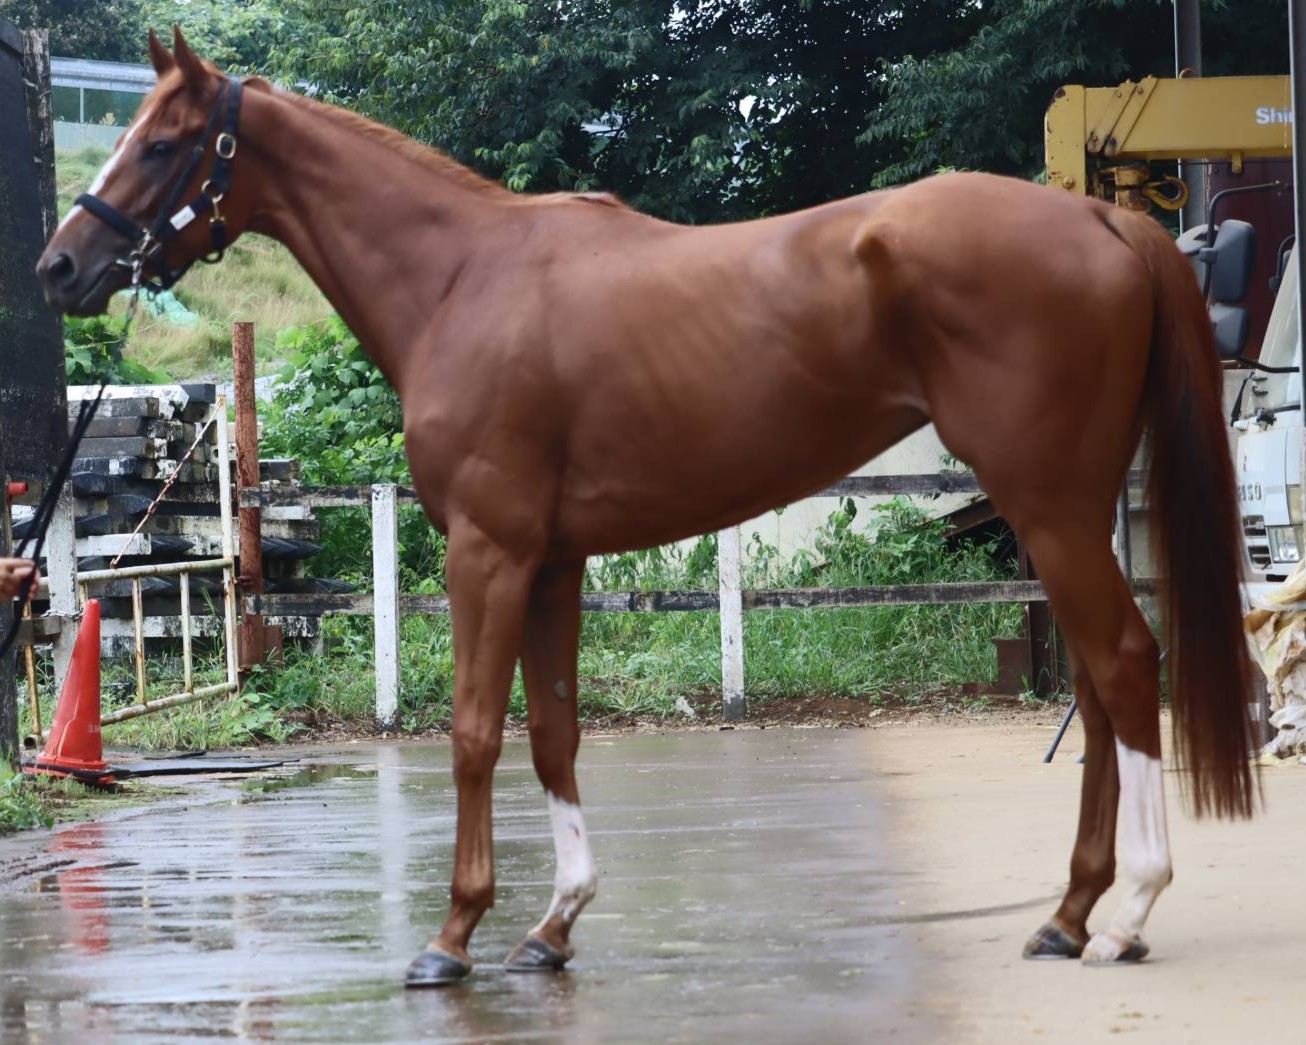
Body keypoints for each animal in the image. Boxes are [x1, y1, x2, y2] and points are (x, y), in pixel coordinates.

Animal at [38, 29, 1257, 986]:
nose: (59, 267)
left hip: (1051, 506)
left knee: (1123, 664)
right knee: (1097, 689)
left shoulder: (487, 550)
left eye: (159, 142)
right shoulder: (553, 559)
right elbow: (554, 730)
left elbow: (474, 732)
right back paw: (1067, 915)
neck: (460, 280)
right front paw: (552, 924)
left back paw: (1127, 914)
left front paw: (452, 936)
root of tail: (1106, 227)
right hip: (1070, 512)